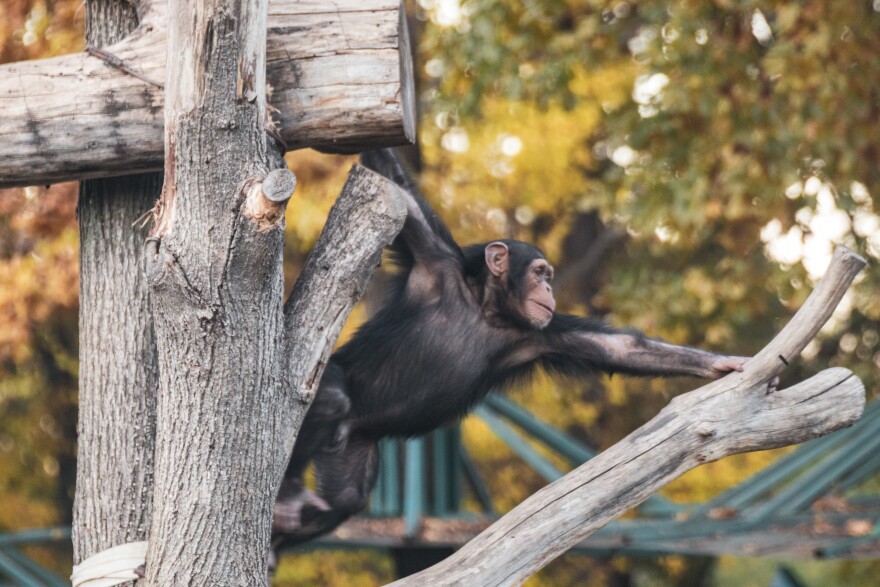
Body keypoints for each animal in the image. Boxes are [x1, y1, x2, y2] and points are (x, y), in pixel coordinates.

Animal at [272, 149, 748, 543]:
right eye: (539, 272)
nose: (550, 289)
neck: (487, 308)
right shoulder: (433, 258)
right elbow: (392, 177)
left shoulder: (541, 333)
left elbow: (623, 348)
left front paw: (723, 364)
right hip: (330, 395)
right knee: (330, 398)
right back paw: (289, 491)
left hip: (352, 447)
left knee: (346, 500)